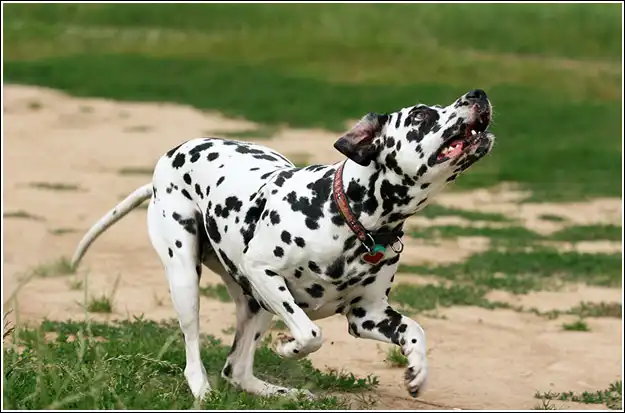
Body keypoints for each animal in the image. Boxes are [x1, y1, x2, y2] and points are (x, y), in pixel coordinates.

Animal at [71, 89, 495, 401]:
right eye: (421, 116)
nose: (478, 93)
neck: (350, 215)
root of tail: (167, 161)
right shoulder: (265, 272)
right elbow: (311, 334)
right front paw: (288, 349)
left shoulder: (368, 315)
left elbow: (416, 331)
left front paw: (418, 371)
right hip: (188, 281)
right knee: (195, 354)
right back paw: (203, 391)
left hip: (255, 306)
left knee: (237, 369)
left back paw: (280, 393)